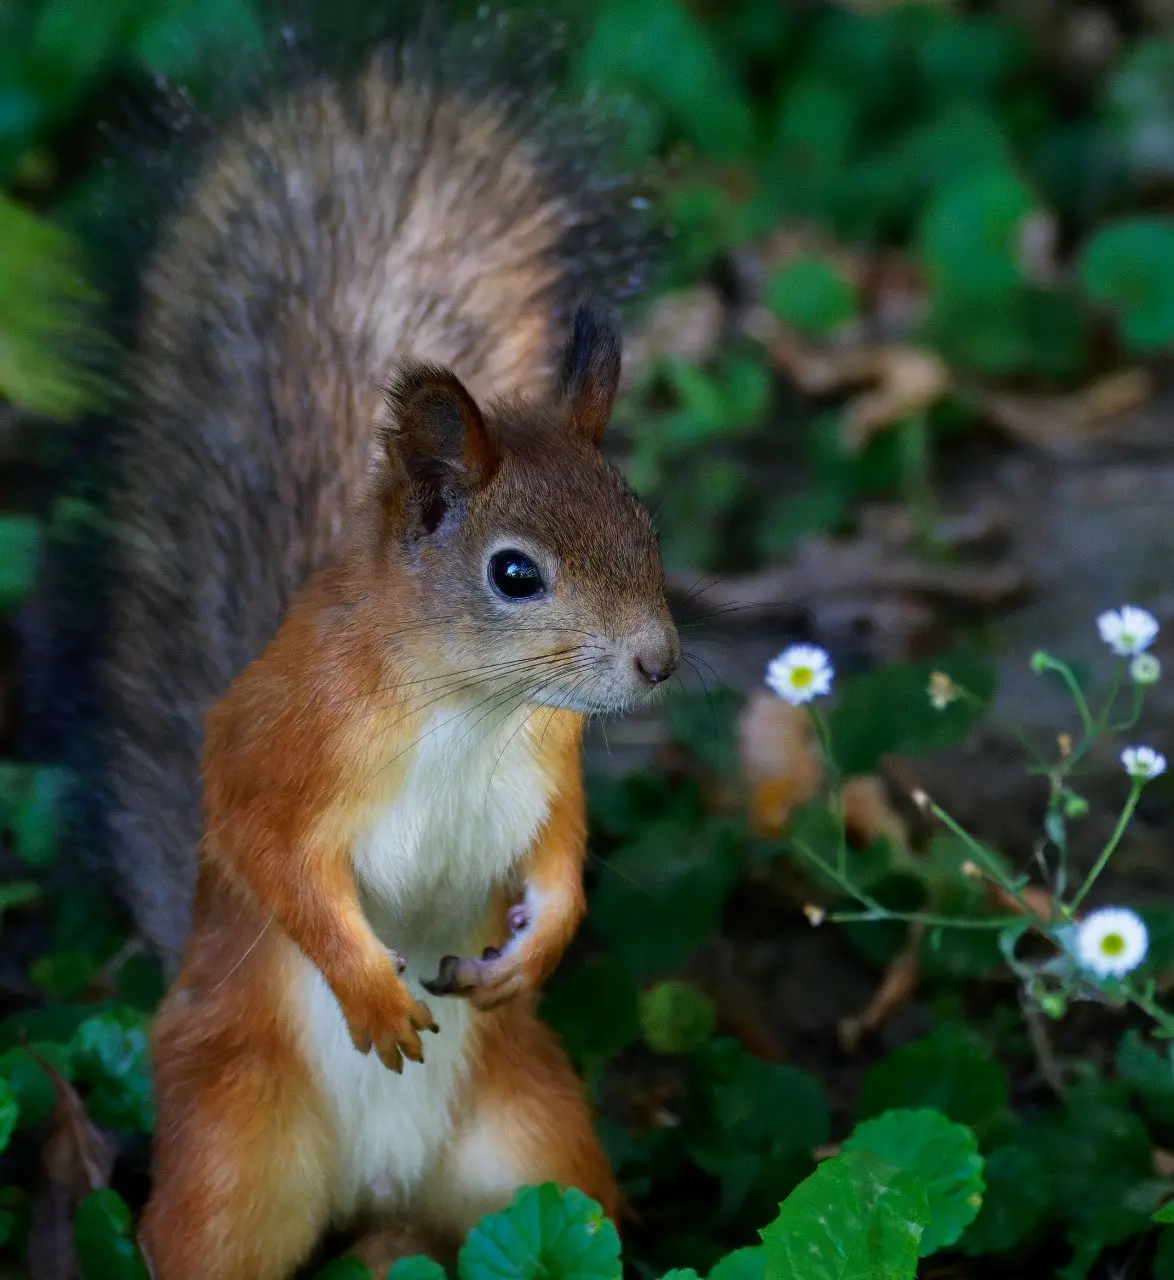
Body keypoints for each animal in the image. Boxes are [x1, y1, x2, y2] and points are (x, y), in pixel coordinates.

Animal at [26, 10, 679, 1280]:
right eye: (514, 572)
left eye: (644, 522)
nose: (656, 659)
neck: (463, 705)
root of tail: (377, 1188)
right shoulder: (279, 745)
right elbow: (272, 855)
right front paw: (370, 994)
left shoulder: (548, 764)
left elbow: (561, 851)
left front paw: (539, 945)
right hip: (232, 1157)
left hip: (537, 1152)